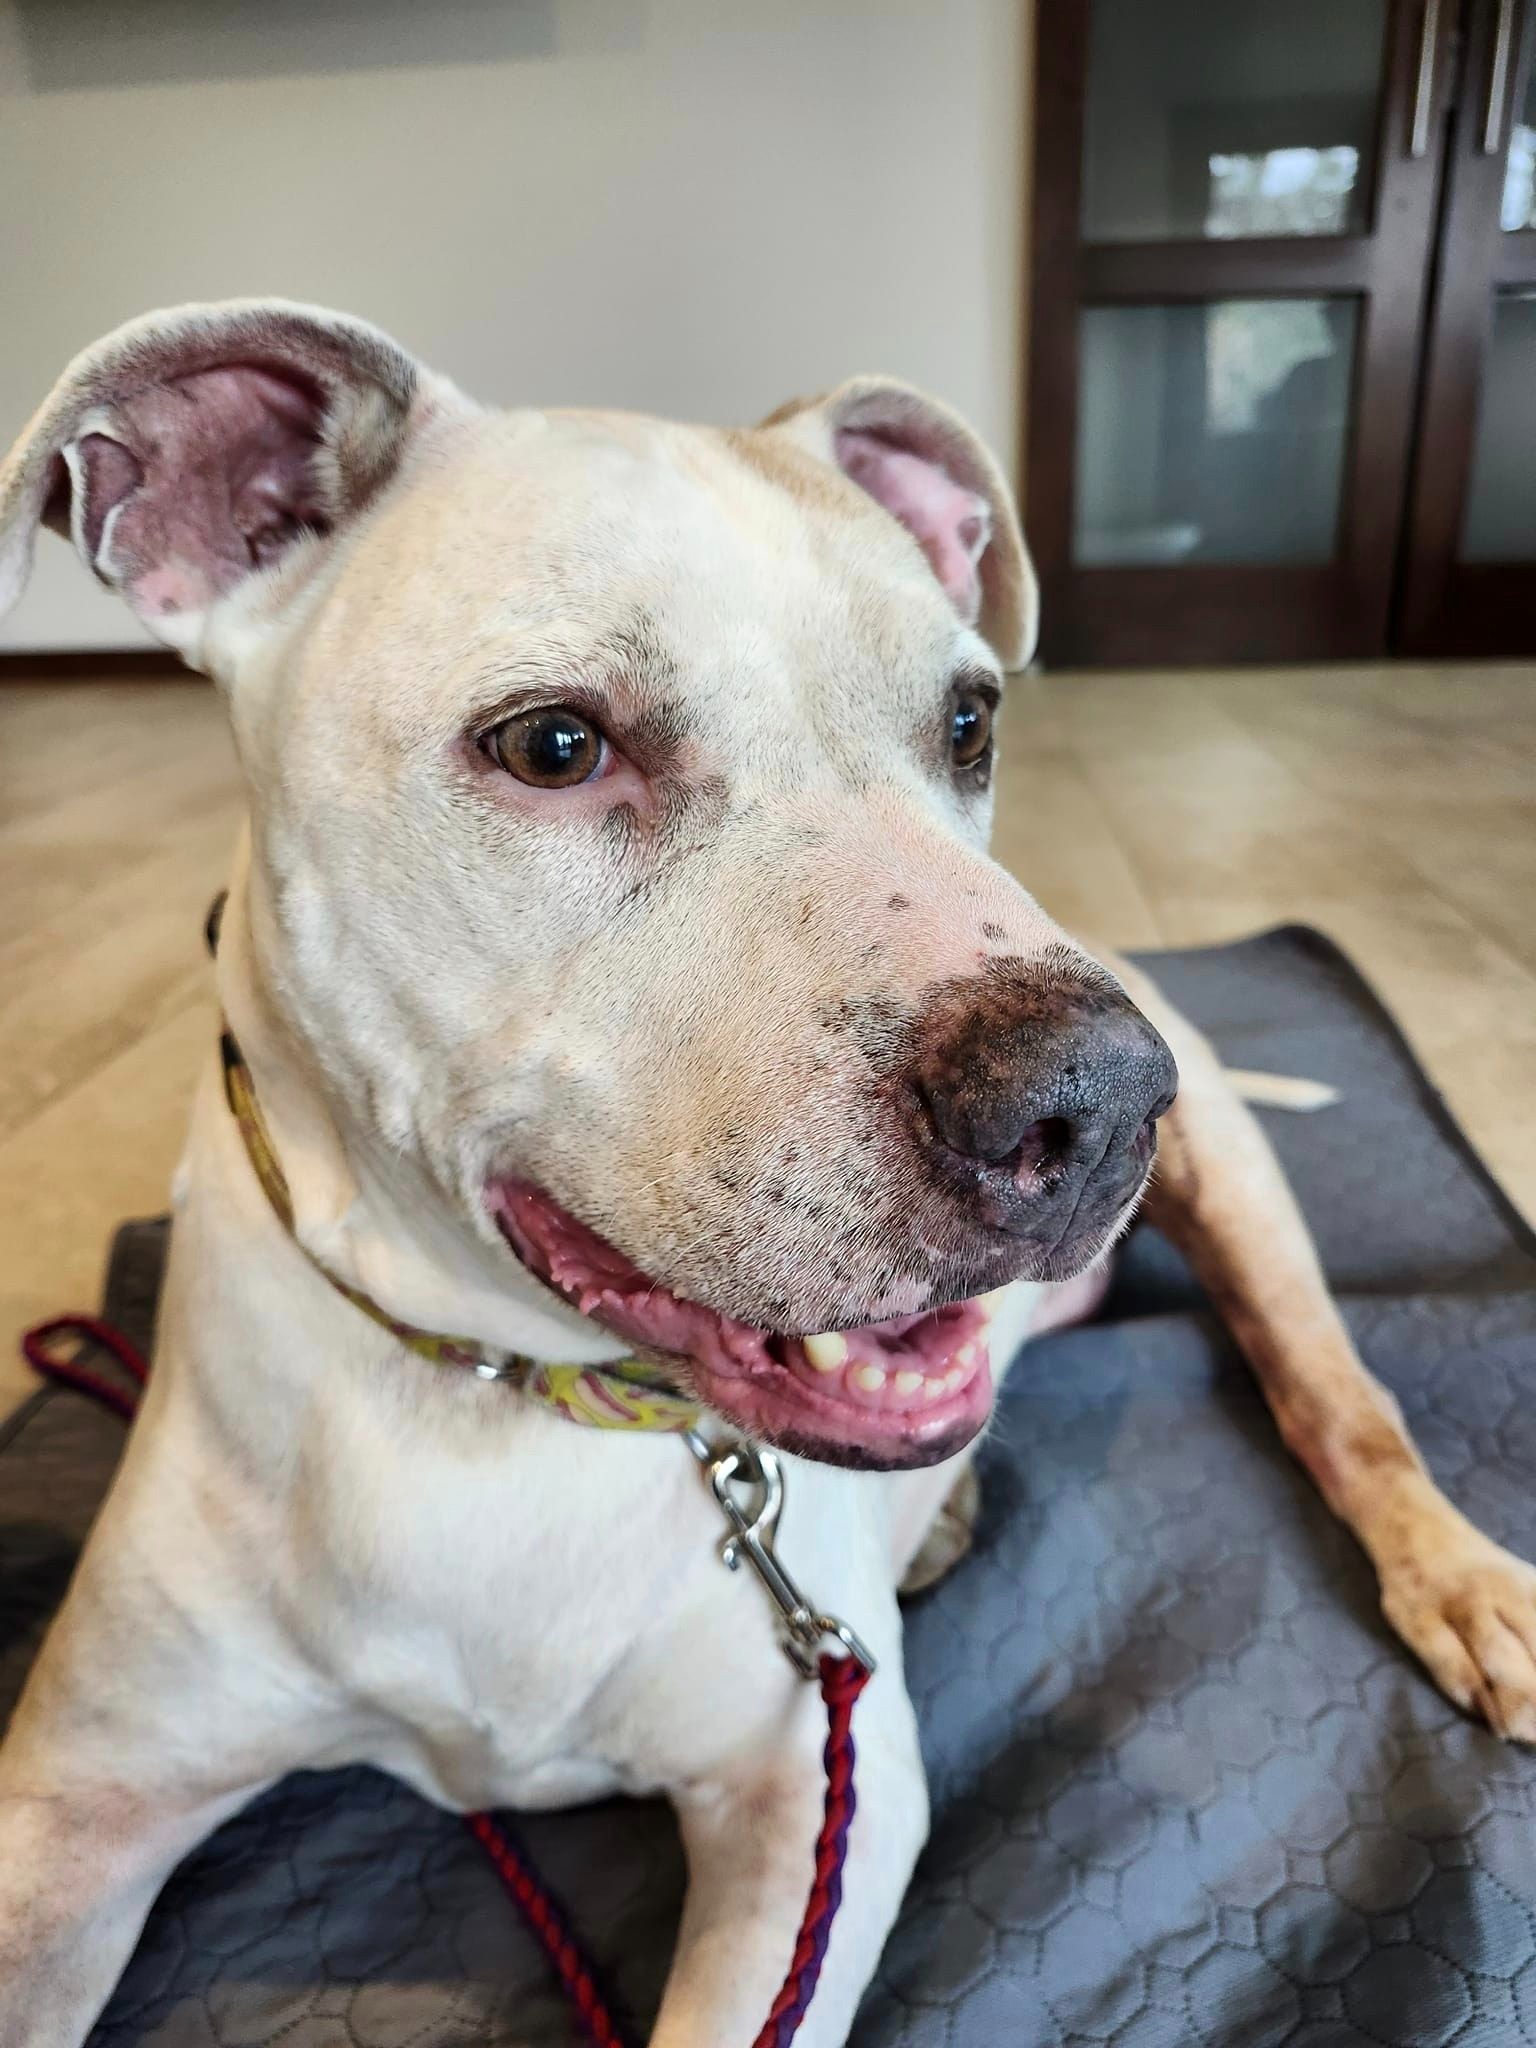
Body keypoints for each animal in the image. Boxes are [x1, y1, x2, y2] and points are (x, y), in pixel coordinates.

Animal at [3, 303, 1536, 2048]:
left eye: (969, 720)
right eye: (555, 743)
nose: (1092, 1100)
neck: (487, 1397)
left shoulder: (812, 1797)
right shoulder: (76, 1803)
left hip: (1245, 1178)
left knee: (1340, 1399)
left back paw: (1466, 1582)